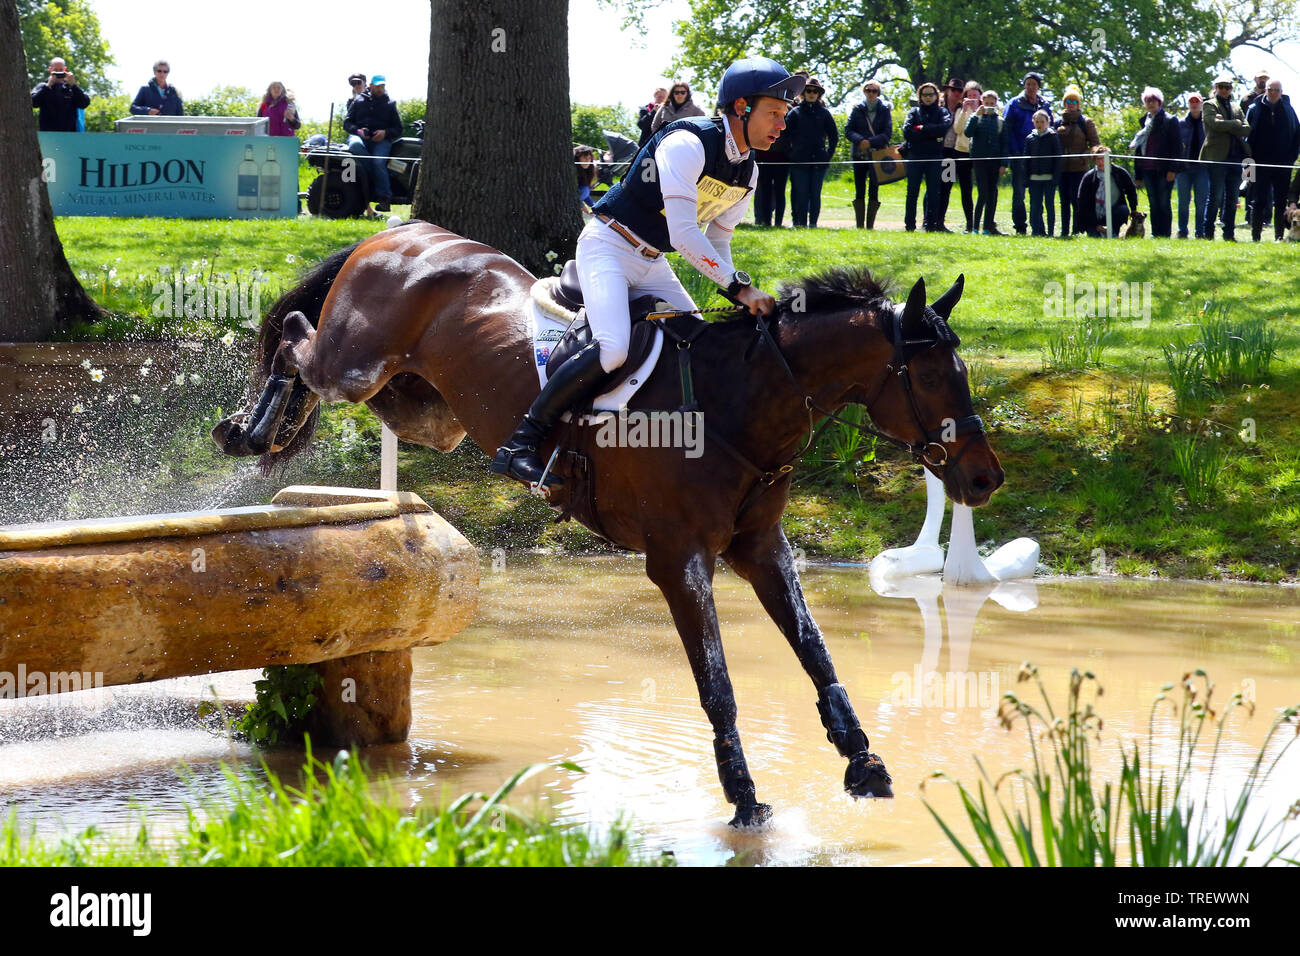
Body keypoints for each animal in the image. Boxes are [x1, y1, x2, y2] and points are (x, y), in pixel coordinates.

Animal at [215, 221, 1003, 827]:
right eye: (935, 376)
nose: (985, 478)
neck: (739, 404)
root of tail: (399, 232)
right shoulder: (679, 561)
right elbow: (717, 682)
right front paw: (744, 797)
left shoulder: (760, 548)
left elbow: (815, 650)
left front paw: (861, 759)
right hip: (356, 365)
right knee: (296, 339)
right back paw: (249, 431)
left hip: (422, 410)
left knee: (334, 368)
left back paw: (275, 429)